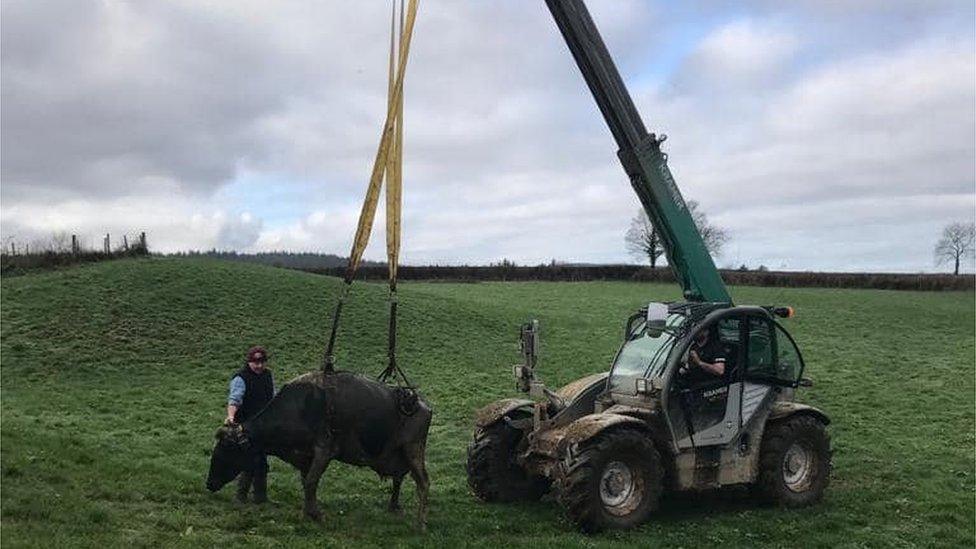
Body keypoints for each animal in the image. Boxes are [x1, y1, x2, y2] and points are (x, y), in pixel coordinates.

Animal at [206, 368, 430, 528]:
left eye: (225, 450)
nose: (209, 483)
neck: (299, 407)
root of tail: (417, 401)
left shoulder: (324, 450)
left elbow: (311, 481)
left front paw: (316, 514)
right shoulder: (306, 457)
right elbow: (307, 482)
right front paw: (308, 512)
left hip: (413, 449)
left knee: (423, 482)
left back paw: (420, 523)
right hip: (399, 455)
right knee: (399, 479)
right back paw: (393, 507)